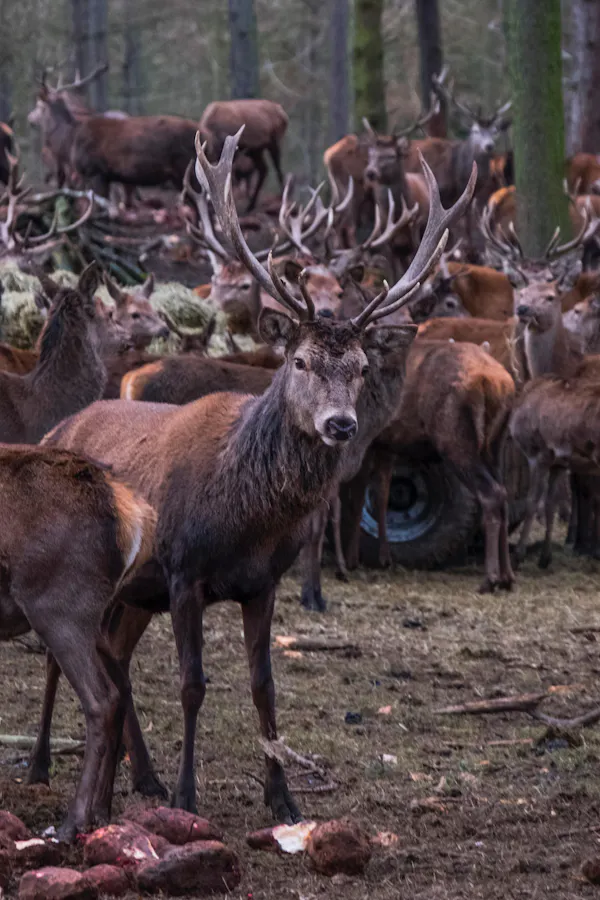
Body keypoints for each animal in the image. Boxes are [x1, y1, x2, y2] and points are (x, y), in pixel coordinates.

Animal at [0, 443, 155, 839]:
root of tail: (134, 516)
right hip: (95, 620)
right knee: (122, 689)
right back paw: (100, 811)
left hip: (59, 610)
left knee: (101, 700)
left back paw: (72, 821)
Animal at [32, 128, 476, 826]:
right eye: (299, 360)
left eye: (358, 366)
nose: (342, 425)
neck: (244, 517)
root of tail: (60, 427)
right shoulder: (183, 572)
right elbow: (192, 684)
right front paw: (188, 795)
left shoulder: (261, 583)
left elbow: (263, 686)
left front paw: (283, 798)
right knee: (61, 659)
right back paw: (44, 764)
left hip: (131, 593)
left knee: (116, 660)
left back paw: (132, 784)